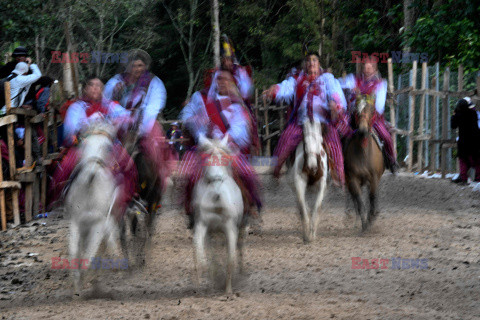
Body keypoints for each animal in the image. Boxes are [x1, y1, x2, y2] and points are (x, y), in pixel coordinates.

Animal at [65, 120, 121, 296]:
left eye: (108, 147)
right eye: (83, 144)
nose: (90, 173)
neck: (90, 191)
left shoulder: (98, 225)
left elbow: (88, 258)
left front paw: (85, 282)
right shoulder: (76, 222)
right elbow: (74, 253)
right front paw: (77, 286)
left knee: (108, 242)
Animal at [192, 134, 246, 294]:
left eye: (223, 158)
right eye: (206, 158)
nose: (216, 179)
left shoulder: (230, 228)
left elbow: (230, 259)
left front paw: (228, 290)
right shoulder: (202, 225)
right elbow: (200, 254)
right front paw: (203, 284)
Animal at [344, 94, 384, 231]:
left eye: (371, 109)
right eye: (356, 111)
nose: (363, 130)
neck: (363, 154)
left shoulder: (374, 178)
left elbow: (372, 197)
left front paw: (372, 216)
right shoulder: (353, 179)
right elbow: (360, 201)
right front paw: (364, 223)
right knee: (354, 199)